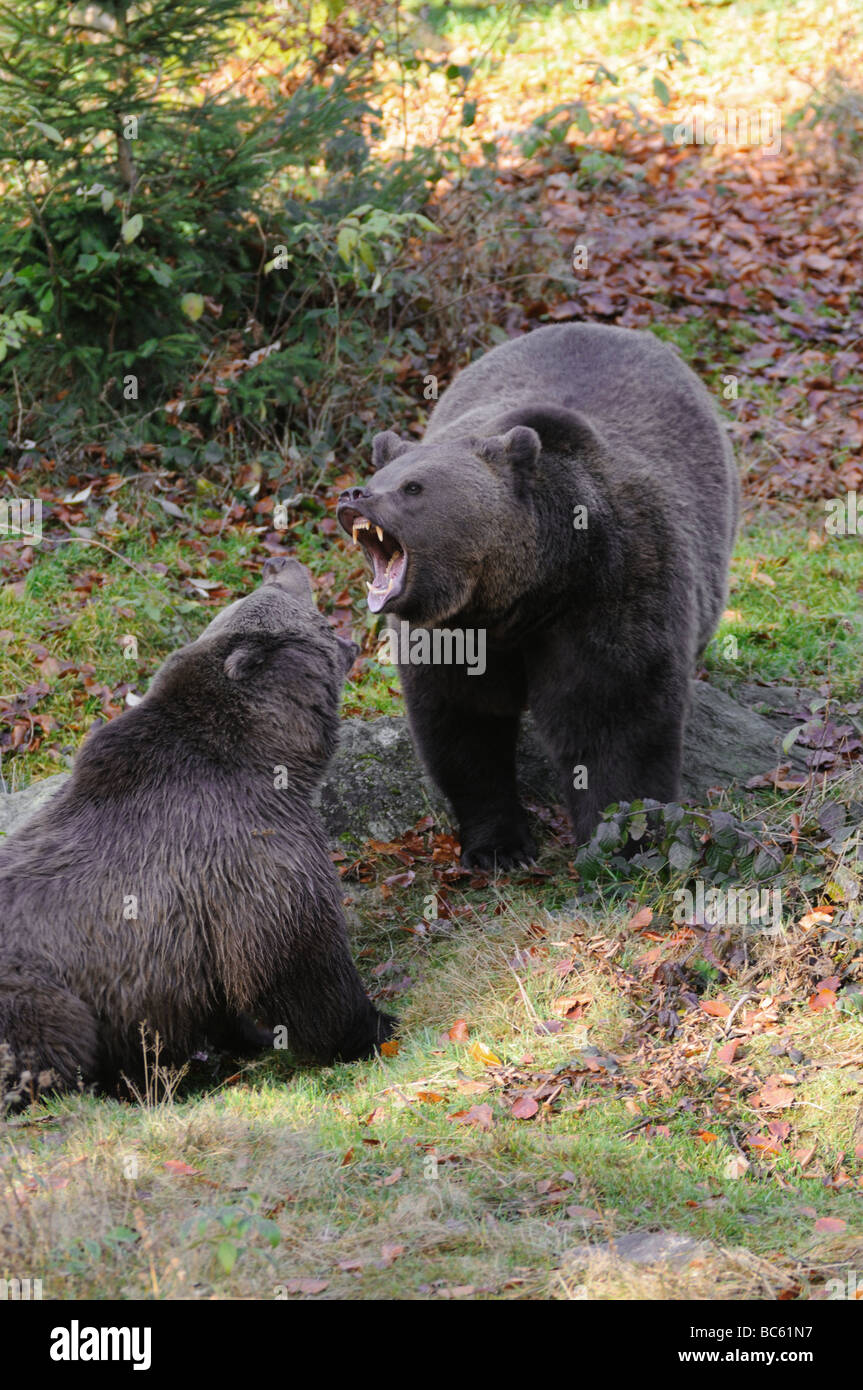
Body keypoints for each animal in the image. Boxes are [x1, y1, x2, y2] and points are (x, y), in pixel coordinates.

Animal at [0, 557, 393, 1095]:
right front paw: (373, 1026)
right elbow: (298, 962)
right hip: (38, 990)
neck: (273, 758)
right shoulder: (249, 859)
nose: (281, 562)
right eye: (278, 596)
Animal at [337, 322, 739, 869]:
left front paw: (621, 843)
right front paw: (500, 846)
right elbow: (464, 728)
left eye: (413, 487)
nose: (353, 495)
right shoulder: (454, 633)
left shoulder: (613, 588)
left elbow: (615, 721)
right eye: (379, 477)